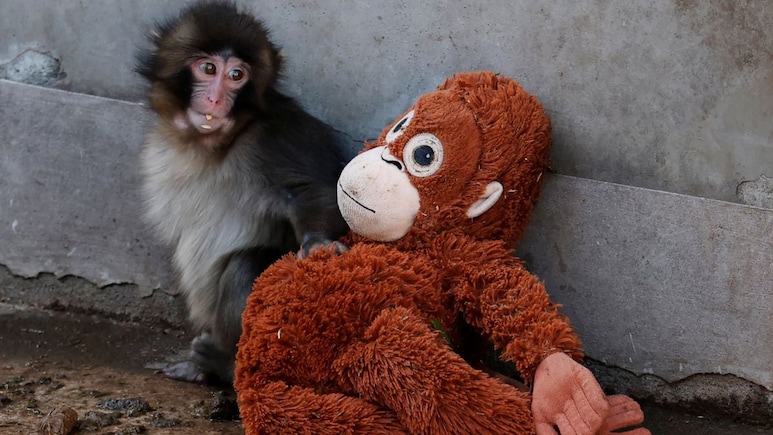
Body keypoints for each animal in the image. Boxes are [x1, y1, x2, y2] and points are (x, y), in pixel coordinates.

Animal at [135, 0, 350, 385]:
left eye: (237, 75)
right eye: (208, 68)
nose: (216, 98)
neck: (214, 144)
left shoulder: (276, 137)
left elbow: (312, 190)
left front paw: (318, 244)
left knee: (243, 267)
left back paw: (223, 365)